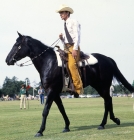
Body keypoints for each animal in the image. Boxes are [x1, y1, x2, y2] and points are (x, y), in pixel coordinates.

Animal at [5, 32, 134, 137]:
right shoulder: (55, 93)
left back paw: (103, 124)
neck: (48, 62)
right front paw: (66, 126)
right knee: (108, 100)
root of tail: (108, 59)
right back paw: (113, 120)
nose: (7, 60)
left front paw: (40, 131)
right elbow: (61, 109)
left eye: (17, 45)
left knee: (107, 101)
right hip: (100, 86)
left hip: (102, 86)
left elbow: (45, 110)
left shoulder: (51, 91)